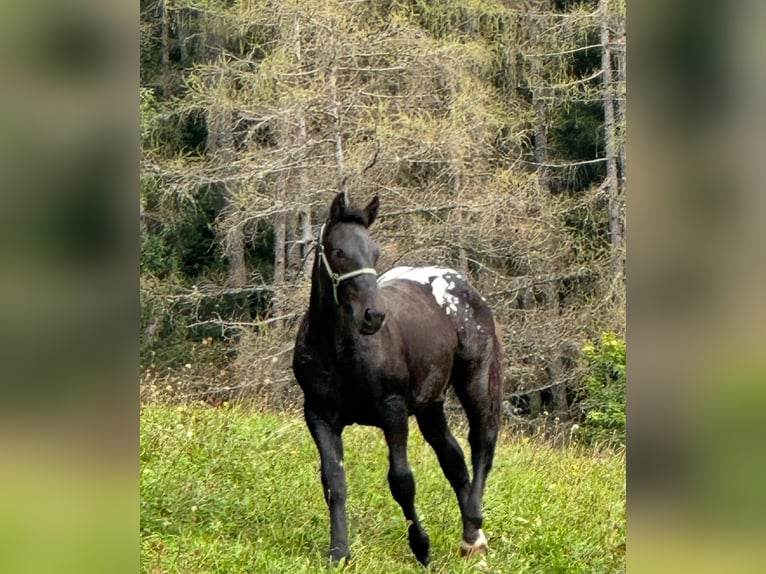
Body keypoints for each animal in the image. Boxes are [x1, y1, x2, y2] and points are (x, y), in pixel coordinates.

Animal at [292, 194, 504, 568]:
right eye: (338, 251)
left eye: (375, 253)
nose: (374, 316)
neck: (338, 350)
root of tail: (464, 285)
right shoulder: (318, 415)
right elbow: (333, 481)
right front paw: (339, 552)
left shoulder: (392, 410)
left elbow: (402, 481)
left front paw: (421, 547)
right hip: (430, 403)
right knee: (452, 458)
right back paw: (471, 536)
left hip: (475, 378)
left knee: (482, 442)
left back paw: (474, 531)